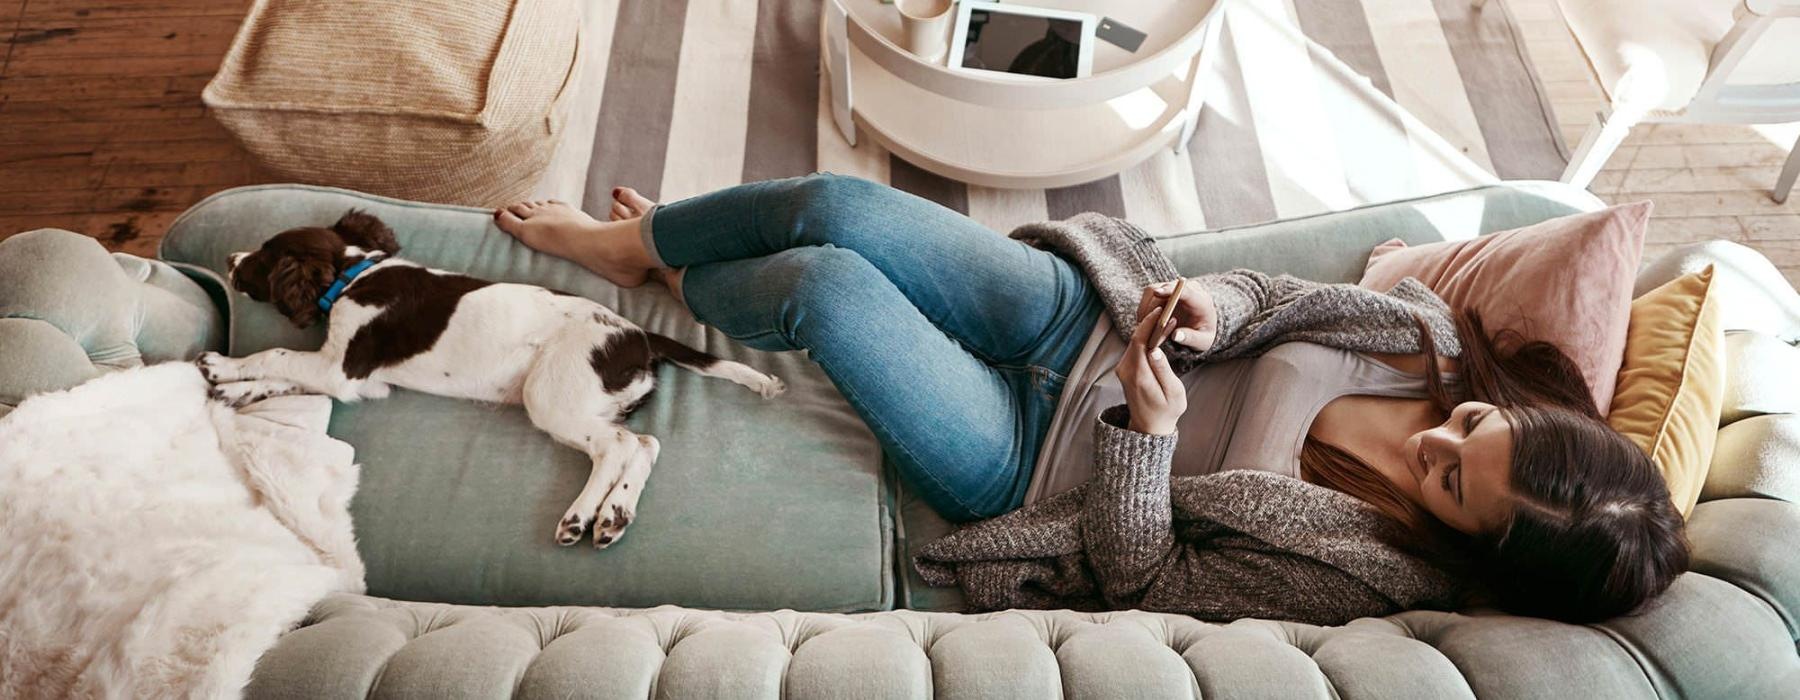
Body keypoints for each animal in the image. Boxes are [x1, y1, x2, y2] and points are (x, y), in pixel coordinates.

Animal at [198, 209, 788, 547]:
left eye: (262, 259)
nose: (228, 256)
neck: (353, 273)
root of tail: (638, 334)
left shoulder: (343, 368)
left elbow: (278, 353)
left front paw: (225, 367)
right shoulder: (357, 378)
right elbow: (285, 376)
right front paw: (236, 389)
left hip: (551, 395)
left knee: (617, 446)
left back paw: (582, 517)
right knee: (644, 444)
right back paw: (614, 515)